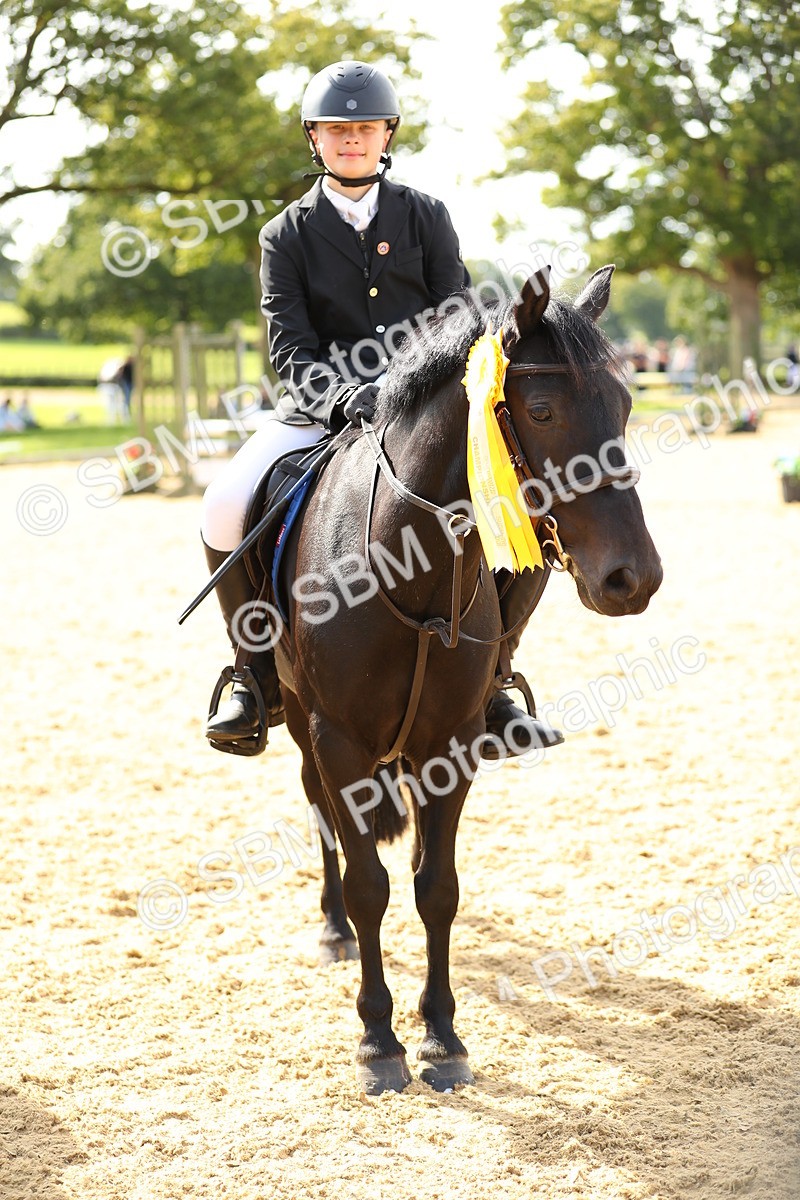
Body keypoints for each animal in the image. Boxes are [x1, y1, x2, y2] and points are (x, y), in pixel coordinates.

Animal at [271, 264, 663, 1094]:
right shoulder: (338, 739)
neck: (410, 570)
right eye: (541, 410)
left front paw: (441, 1035)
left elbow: (436, 889)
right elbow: (370, 886)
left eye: (624, 404)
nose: (634, 578)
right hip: (295, 715)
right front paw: (378, 1040)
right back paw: (329, 928)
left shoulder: (449, 744)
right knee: (319, 811)